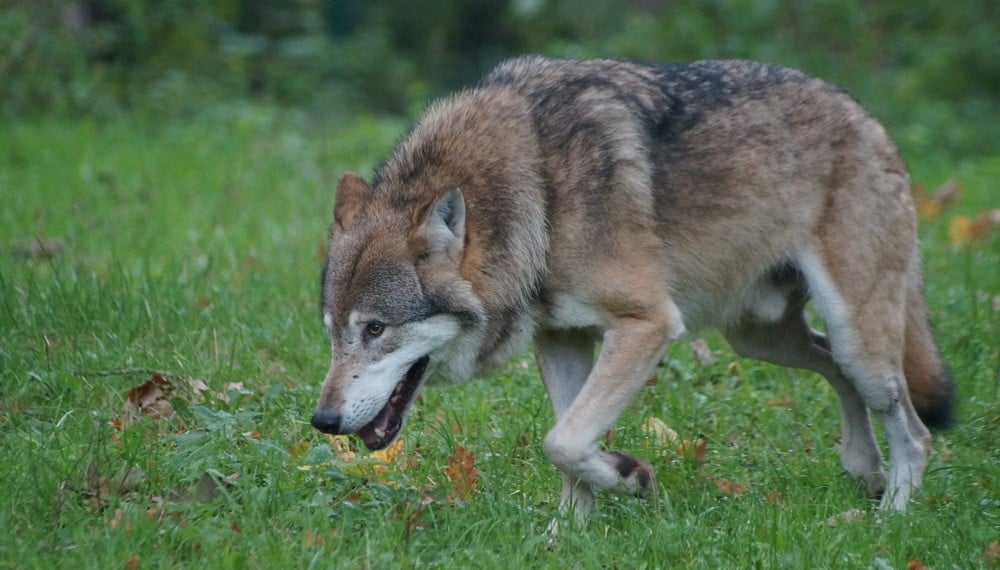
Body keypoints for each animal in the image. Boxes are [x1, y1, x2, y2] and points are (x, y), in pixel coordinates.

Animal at [312, 56, 952, 520]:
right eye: (331, 333)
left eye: (375, 329)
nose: (322, 421)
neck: (539, 196)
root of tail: (867, 117)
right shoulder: (562, 339)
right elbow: (566, 447)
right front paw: (564, 536)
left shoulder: (648, 324)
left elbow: (563, 441)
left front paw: (631, 477)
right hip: (762, 339)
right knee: (836, 372)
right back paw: (864, 468)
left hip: (853, 336)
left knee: (915, 431)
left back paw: (890, 519)